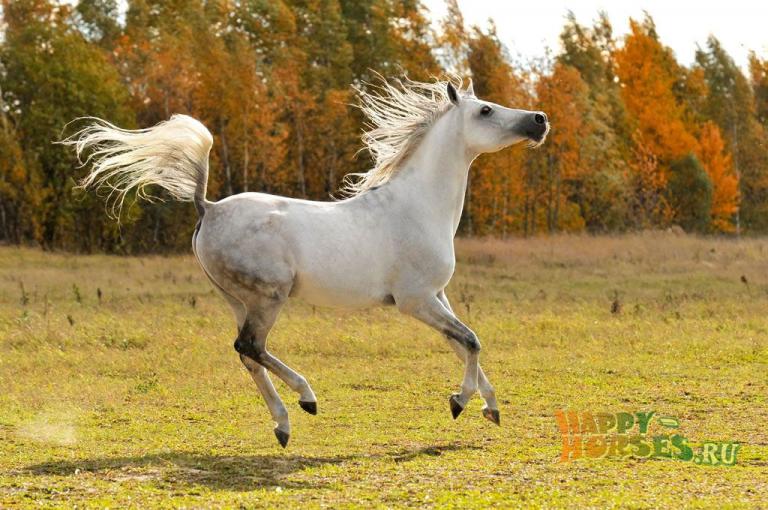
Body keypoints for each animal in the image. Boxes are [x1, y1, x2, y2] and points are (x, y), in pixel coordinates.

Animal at [65, 78, 549, 448]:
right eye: (485, 110)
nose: (539, 120)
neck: (417, 207)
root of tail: (209, 207)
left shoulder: (436, 295)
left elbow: (463, 343)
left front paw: (491, 407)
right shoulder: (415, 301)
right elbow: (471, 341)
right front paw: (459, 403)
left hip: (239, 300)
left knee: (248, 355)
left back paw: (283, 425)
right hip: (269, 297)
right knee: (250, 347)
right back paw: (306, 399)